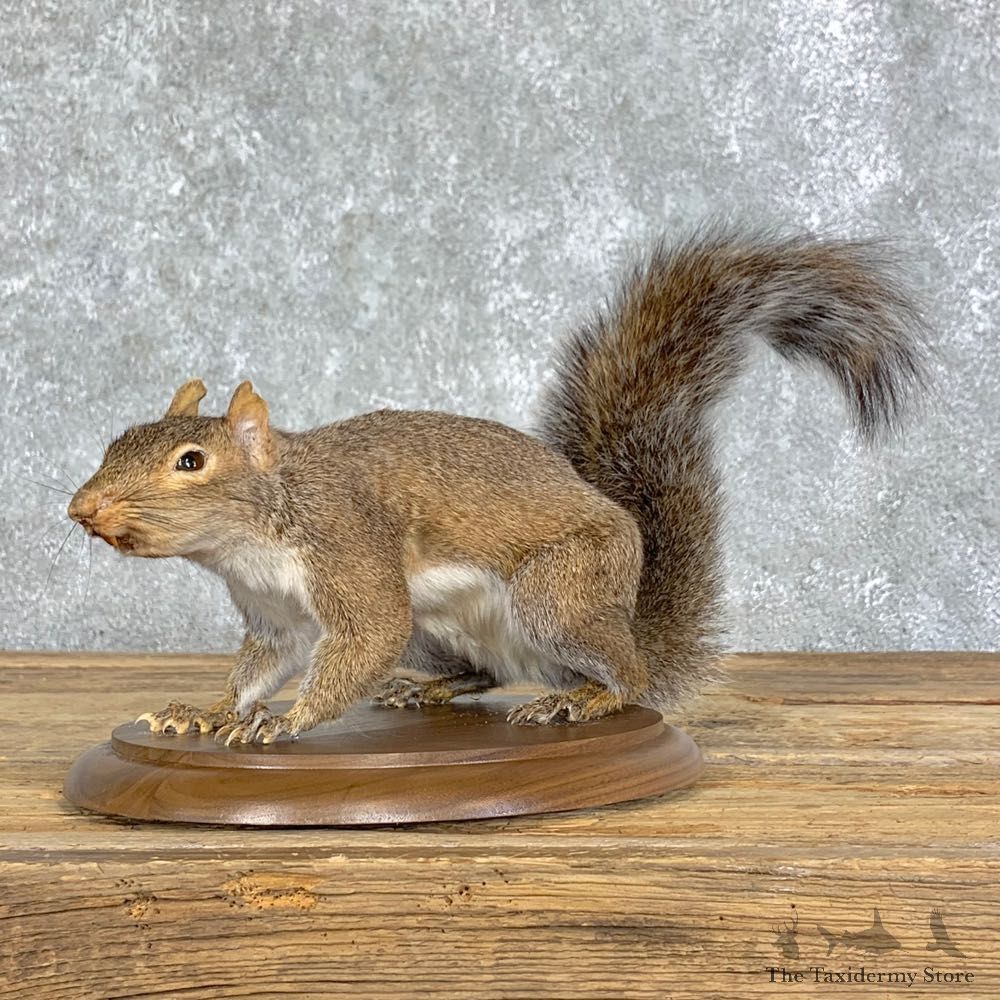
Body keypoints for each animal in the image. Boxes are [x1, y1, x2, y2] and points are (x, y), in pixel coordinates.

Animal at [67, 227, 927, 745]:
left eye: (190, 462)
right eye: (114, 441)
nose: (83, 507)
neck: (254, 536)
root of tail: (625, 603)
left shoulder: (349, 549)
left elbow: (361, 640)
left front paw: (289, 721)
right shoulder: (274, 616)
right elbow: (259, 668)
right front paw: (208, 711)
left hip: (557, 597)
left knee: (630, 680)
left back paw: (585, 699)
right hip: (440, 628)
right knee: (486, 671)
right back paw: (429, 691)